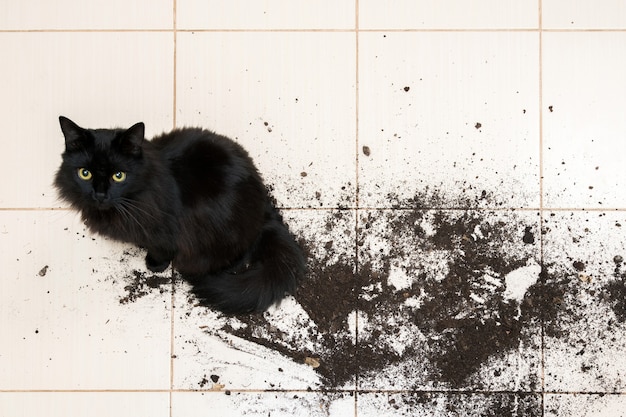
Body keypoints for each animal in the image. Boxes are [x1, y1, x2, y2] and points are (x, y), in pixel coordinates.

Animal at [56, 116, 304, 312]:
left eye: (119, 176)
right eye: (85, 173)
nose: (99, 194)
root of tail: (265, 207)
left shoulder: (164, 230)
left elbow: (161, 249)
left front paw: (154, 264)